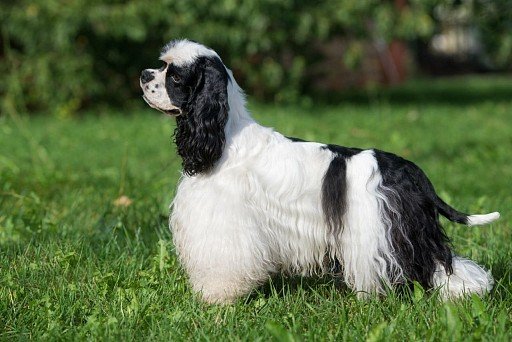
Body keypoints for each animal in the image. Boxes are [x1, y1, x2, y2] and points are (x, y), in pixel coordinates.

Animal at [138, 38, 498, 304]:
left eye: (174, 76)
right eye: (162, 66)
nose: (144, 74)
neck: (226, 138)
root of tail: (413, 173)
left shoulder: (225, 222)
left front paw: (215, 300)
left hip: (387, 234)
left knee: (438, 264)